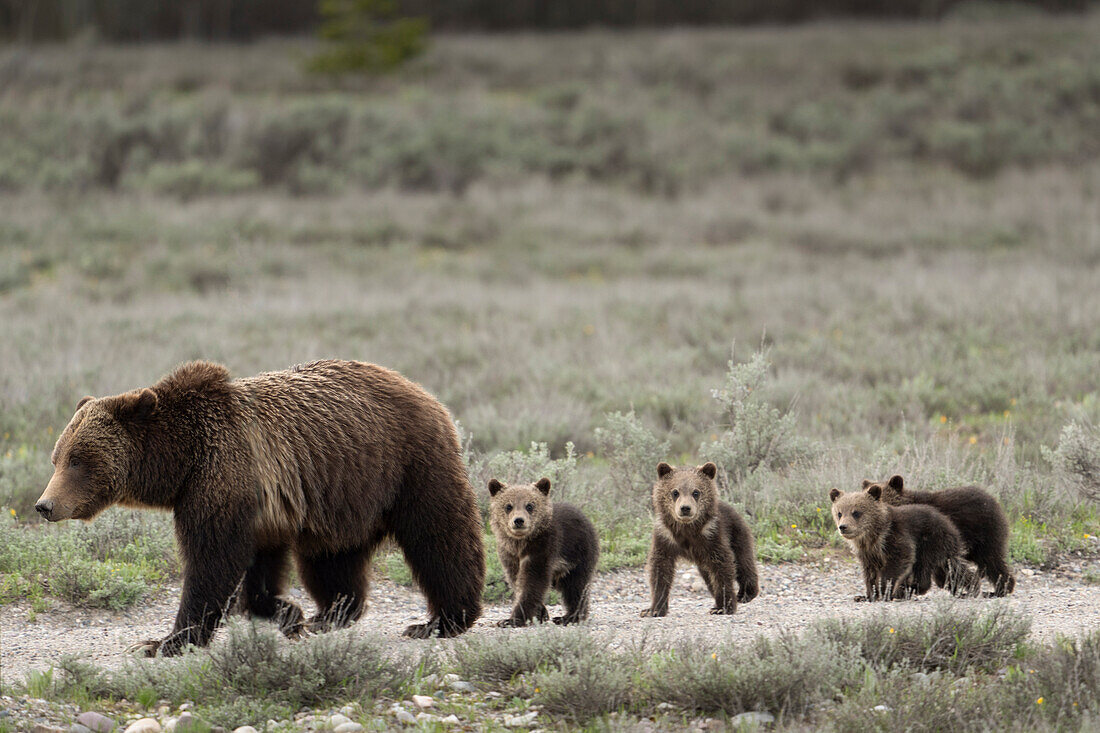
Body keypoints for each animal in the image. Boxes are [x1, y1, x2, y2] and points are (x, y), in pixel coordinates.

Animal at [36, 358, 484, 651]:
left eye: (79, 460)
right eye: (57, 457)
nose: (45, 504)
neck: (181, 461)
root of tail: (422, 391)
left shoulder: (223, 475)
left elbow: (212, 562)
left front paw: (165, 641)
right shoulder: (260, 507)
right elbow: (255, 569)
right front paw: (289, 614)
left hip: (409, 464)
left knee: (439, 537)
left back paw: (442, 620)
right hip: (343, 497)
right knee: (330, 557)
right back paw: (331, 614)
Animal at [488, 477, 598, 625]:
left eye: (529, 506)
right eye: (508, 506)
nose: (519, 520)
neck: (520, 543)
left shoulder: (542, 548)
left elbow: (533, 581)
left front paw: (512, 619)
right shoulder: (509, 554)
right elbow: (516, 579)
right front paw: (541, 613)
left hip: (578, 553)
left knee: (576, 586)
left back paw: (569, 617)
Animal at [642, 462, 761, 616]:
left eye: (696, 492)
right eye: (675, 492)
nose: (685, 508)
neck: (687, 529)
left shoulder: (712, 535)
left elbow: (722, 567)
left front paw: (722, 607)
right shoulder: (665, 537)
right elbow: (660, 569)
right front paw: (653, 609)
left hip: (737, 533)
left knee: (743, 561)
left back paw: (746, 593)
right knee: (709, 575)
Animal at [827, 484, 968, 598]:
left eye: (856, 512)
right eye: (839, 513)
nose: (843, 527)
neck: (873, 536)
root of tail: (951, 526)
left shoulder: (896, 537)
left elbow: (898, 561)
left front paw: (883, 589)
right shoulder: (867, 552)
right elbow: (869, 572)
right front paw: (868, 595)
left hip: (931, 541)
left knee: (924, 567)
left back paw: (906, 590)